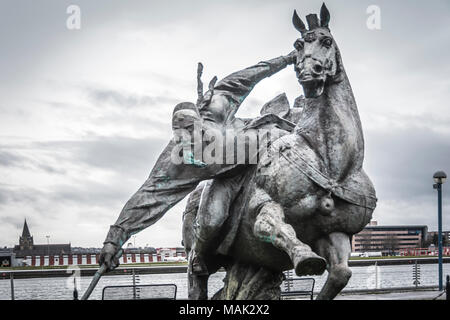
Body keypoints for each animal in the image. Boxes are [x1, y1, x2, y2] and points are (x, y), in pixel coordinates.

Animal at [183, 3, 376, 300]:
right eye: (298, 44)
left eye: (327, 41)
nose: (309, 73)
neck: (331, 164)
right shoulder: (260, 206)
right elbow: (273, 226)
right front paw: (305, 258)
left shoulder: (336, 233)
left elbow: (340, 274)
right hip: (206, 230)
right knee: (197, 269)